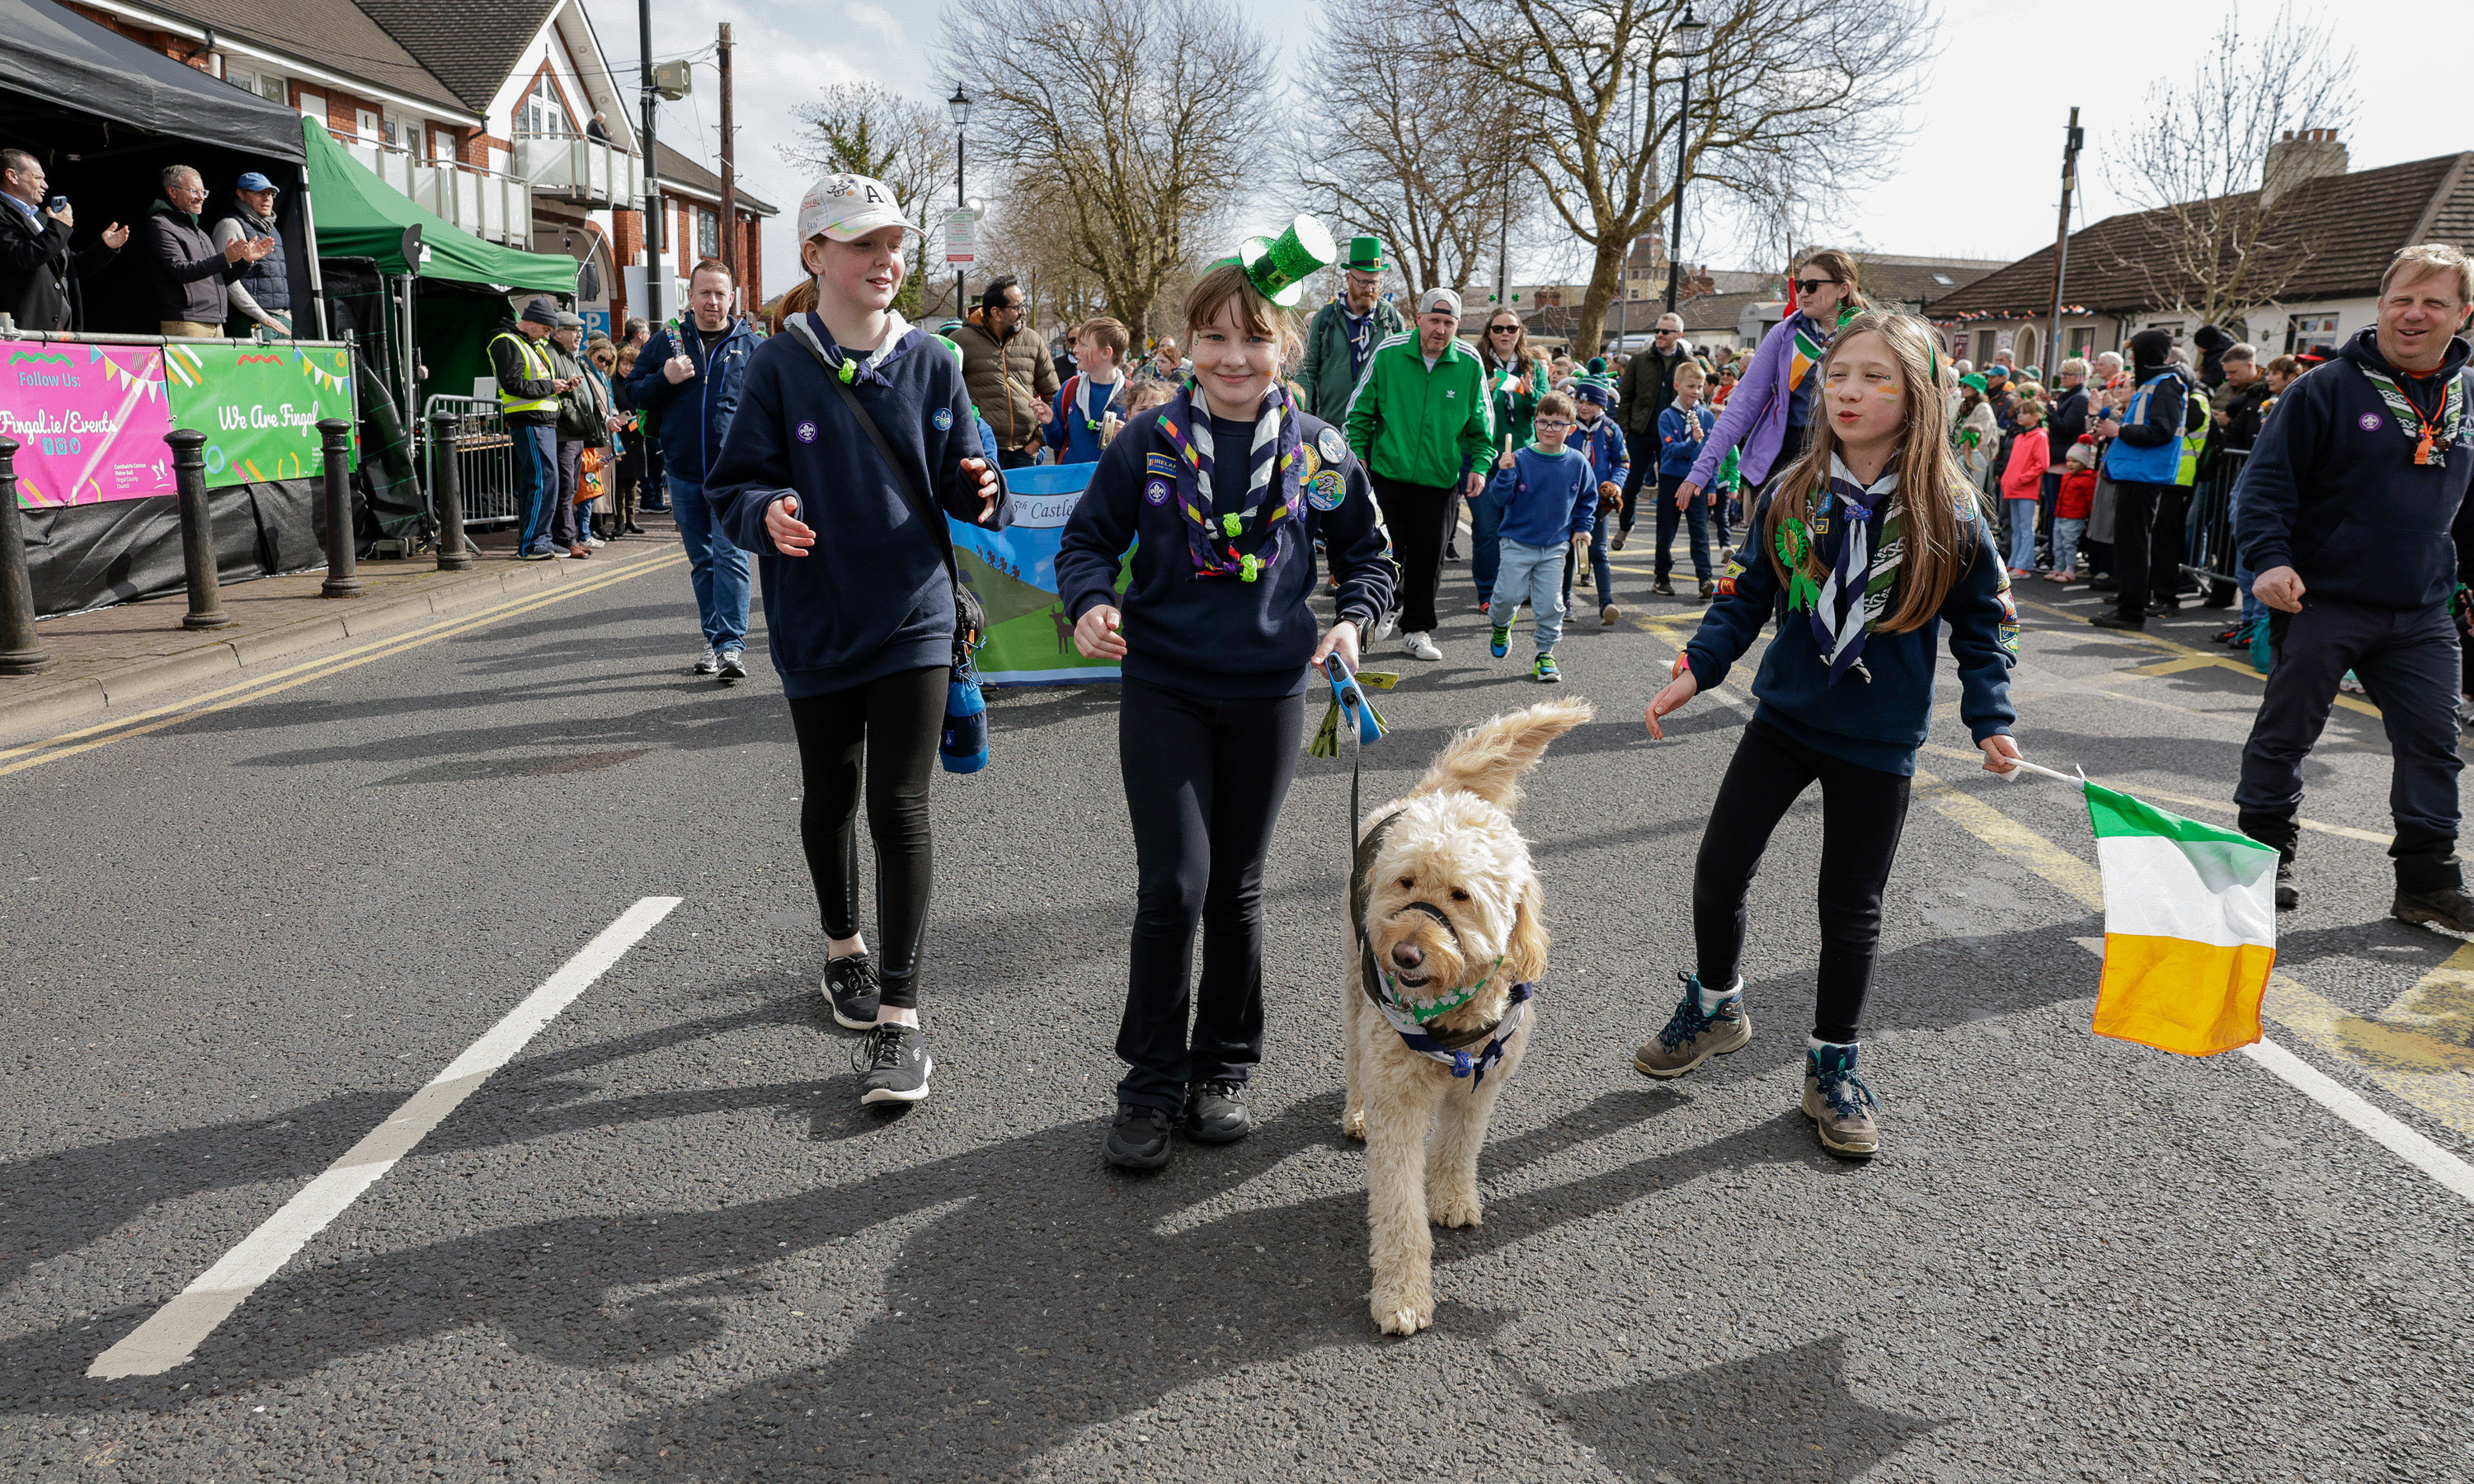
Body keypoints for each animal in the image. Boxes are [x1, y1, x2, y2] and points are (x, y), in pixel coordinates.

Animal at [1343, 698, 1592, 1335]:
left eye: (1461, 895)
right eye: (1405, 883)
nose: (1405, 953)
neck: (1449, 1021)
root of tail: (1432, 793)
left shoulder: (1483, 1082)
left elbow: (1459, 1146)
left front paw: (1453, 1198)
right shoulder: (1398, 1102)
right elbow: (1399, 1206)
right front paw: (1402, 1295)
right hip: (1354, 986)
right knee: (1355, 1055)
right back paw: (1354, 1111)